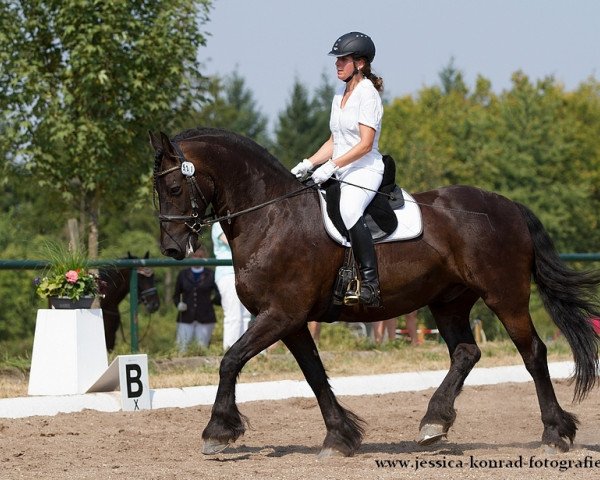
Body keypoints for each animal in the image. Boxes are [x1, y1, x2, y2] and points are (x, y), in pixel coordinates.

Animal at [149, 127, 600, 458]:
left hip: (504, 296)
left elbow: (230, 360)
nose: (172, 248)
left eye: (173, 189)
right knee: (466, 353)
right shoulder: (290, 320)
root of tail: (507, 206)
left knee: (533, 353)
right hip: (449, 301)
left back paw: (554, 433)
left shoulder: (280, 314)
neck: (272, 216)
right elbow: (314, 375)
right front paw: (340, 437)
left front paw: (217, 431)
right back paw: (434, 423)